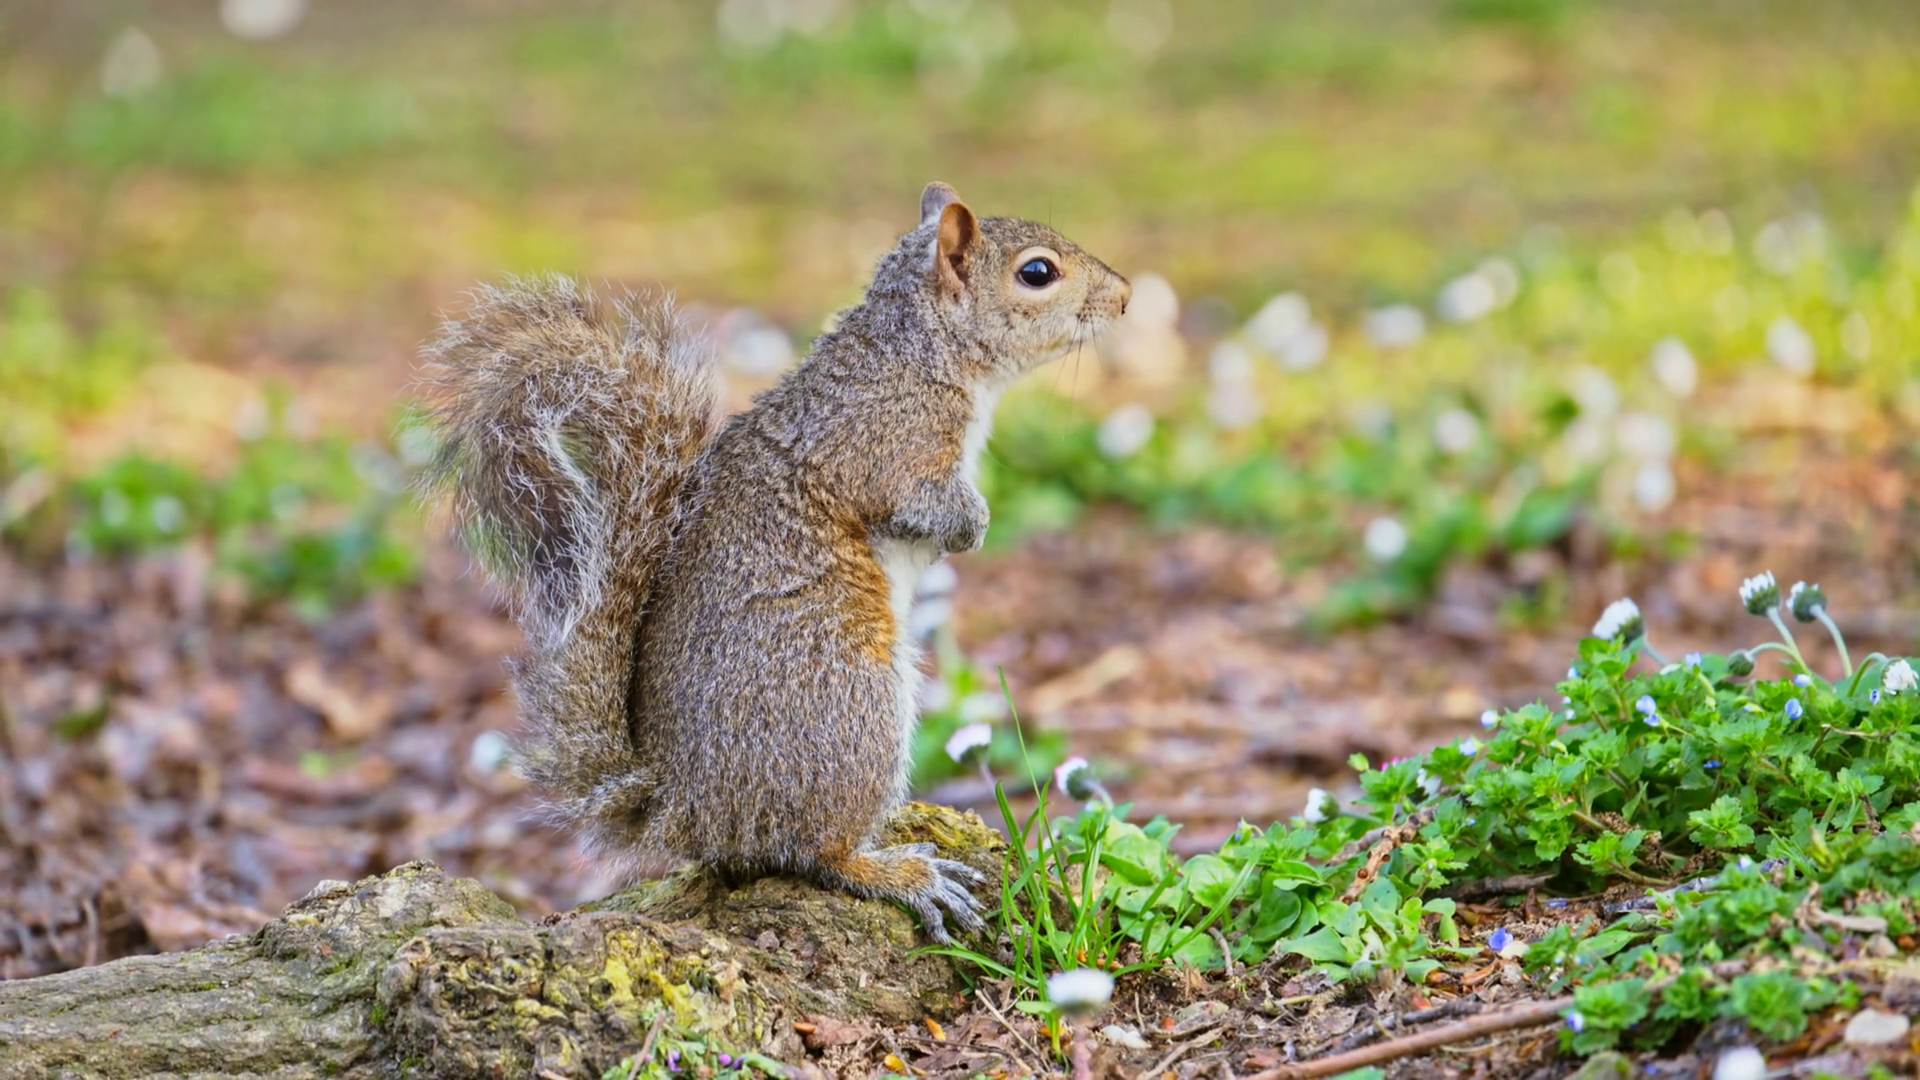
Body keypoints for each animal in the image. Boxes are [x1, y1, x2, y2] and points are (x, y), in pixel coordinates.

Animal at [418, 183, 1131, 942]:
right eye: (1038, 273)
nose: (1124, 296)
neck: (922, 350)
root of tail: (687, 809)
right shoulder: (884, 445)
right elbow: (914, 501)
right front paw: (972, 526)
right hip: (849, 707)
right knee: (818, 850)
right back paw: (903, 875)